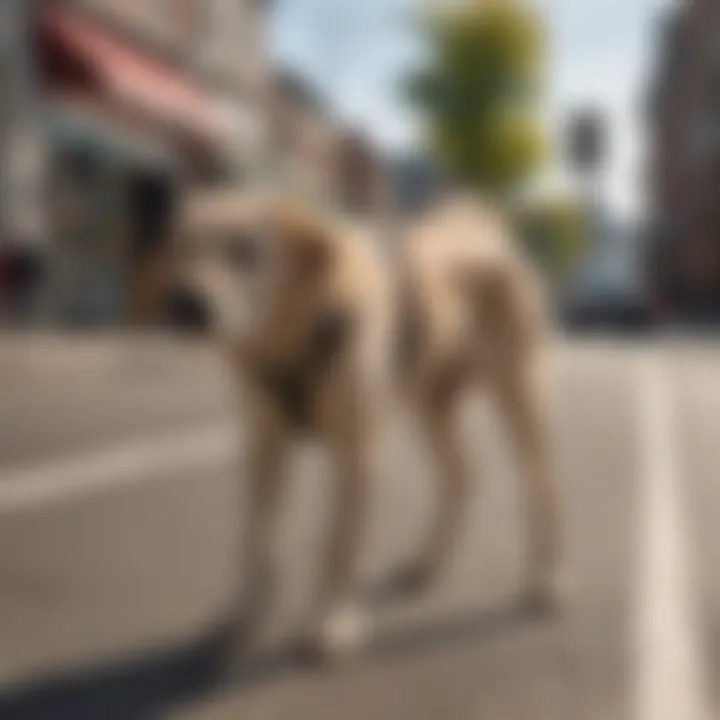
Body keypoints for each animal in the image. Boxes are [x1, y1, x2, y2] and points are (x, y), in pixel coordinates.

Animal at [172, 188, 560, 660]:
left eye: (246, 250)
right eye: (185, 247)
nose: (186, 304)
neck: (299, 329)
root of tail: (486, 230)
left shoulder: (358, 454)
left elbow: (339, 546)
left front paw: (334, 622)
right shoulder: (266, 448)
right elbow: (256, 540)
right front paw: (241, 614)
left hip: (519, 390)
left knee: (542, 484)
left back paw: (547, 579)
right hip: (431, 401)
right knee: (462, 472)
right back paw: (426, 560)